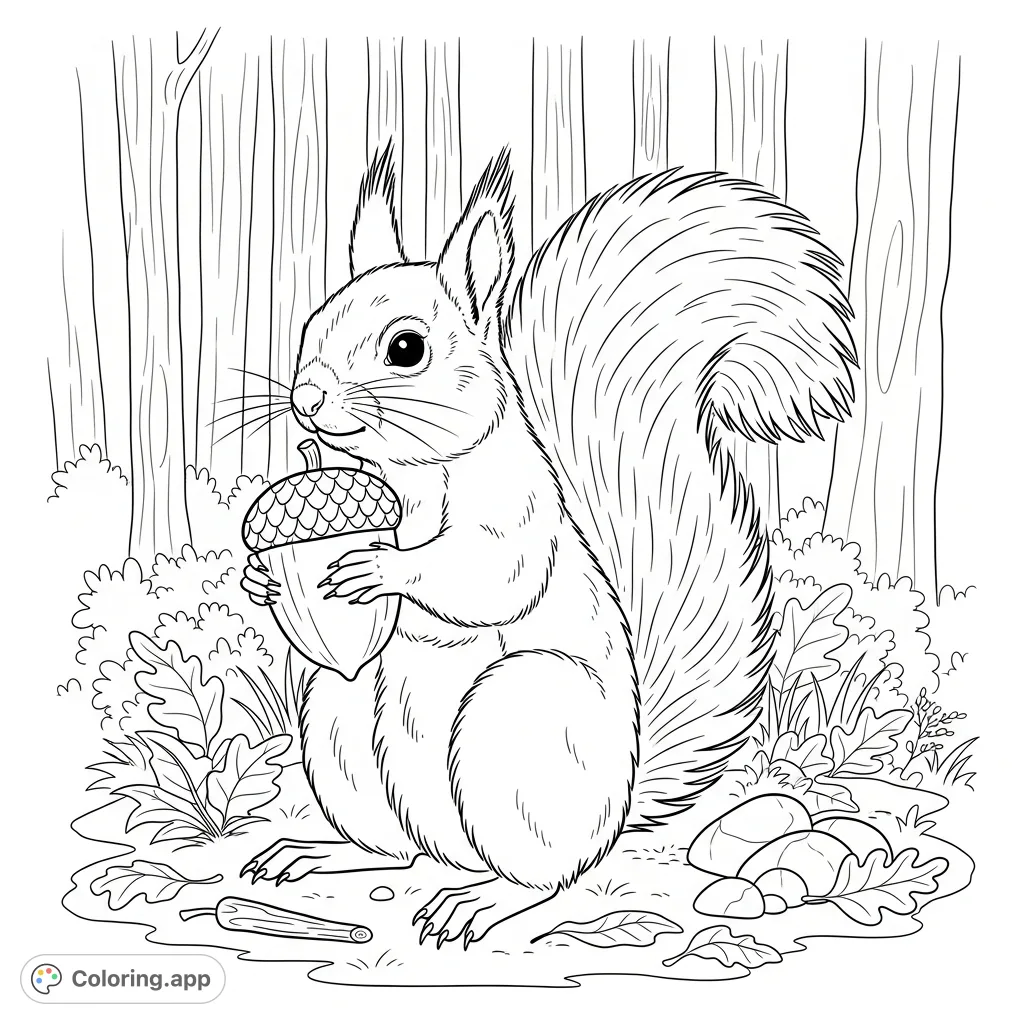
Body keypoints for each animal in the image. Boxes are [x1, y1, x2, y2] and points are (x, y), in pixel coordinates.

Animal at [240, 143, 856, 947]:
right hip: (337, 724)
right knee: (396, 851)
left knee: (540, 878)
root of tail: (616, 812)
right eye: (311, 324)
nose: (306, 401)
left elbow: (487, 572)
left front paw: (378, 566)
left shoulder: (515, 507)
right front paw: (263, 582)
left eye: (406, 348)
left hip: (516, 718)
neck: (409, 470)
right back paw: (323, 853)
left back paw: (480, 901)